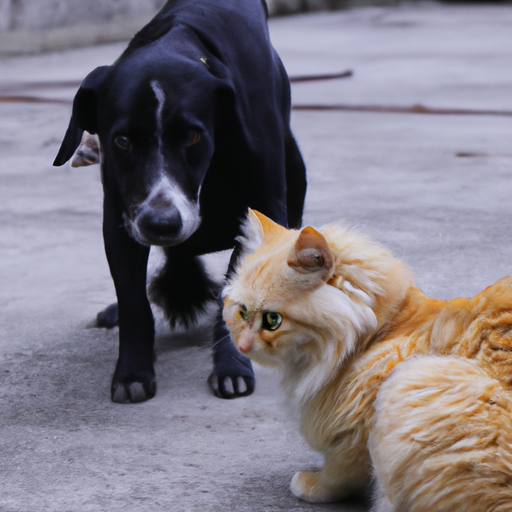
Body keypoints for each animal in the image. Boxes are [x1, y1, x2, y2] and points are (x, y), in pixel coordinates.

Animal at [54, 0, 306, 404]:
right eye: (122, 141)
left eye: (192, 136)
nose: (161, 224)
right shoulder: (121, 222)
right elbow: (134, 302)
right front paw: (133, 373)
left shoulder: (261, 210)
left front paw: (232, 367)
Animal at [223, 210, 512, 510]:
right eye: (242, 312)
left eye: (272, 320)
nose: (242, 346)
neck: (377, 333)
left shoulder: (362, 421)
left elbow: (341, 471)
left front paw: (313, 485)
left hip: (413, 379)